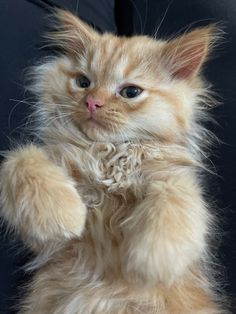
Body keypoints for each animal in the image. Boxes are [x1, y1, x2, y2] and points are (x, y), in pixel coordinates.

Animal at [0, 9, 229, 314]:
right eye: (83, 82)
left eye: (130, 92)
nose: (92, 103)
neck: (105, 155)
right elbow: (21, 159)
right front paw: (64, 216)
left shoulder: (170, 175)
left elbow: (176, 197)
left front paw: (152, 260)